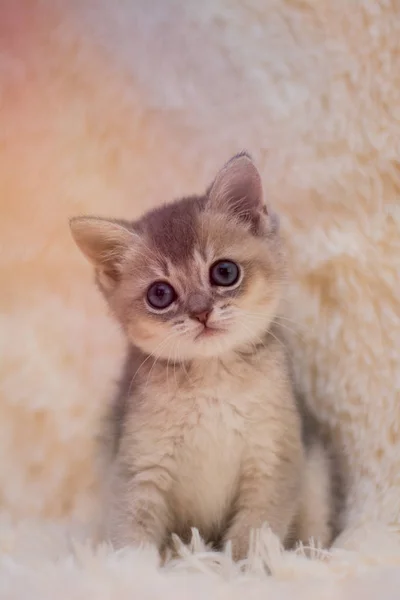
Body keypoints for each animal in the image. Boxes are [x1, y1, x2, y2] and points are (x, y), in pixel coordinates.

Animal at [69, 152, 338, 560]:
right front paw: (131, 569)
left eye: (224, 272)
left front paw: (239, 569)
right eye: (160, 294)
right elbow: (131, 538)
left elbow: (252, 538)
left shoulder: (274, 461)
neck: (213, 380)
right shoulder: (138, 468)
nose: (201, 312)